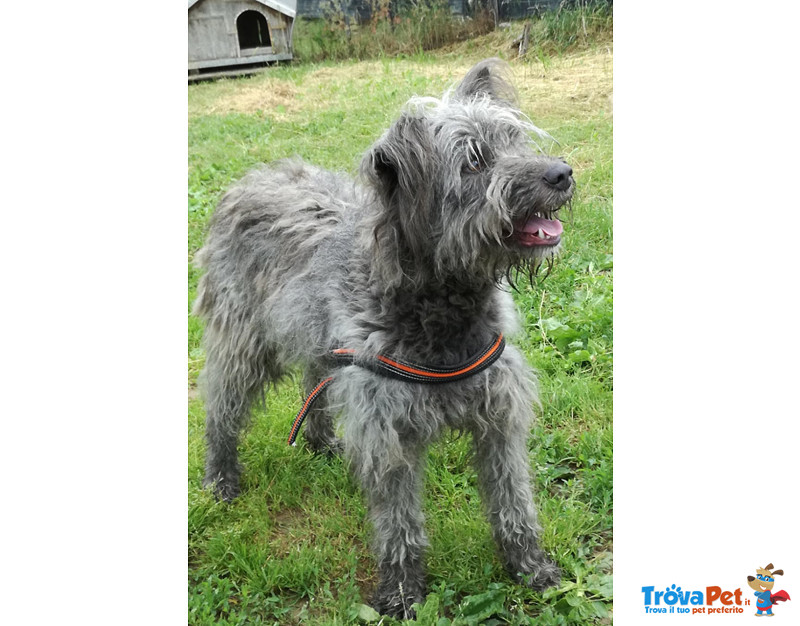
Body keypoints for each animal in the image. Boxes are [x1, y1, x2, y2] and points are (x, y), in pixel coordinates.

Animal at [197, 61, 580, 616]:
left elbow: (515, 504)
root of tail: (250, 178)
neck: (442, 313)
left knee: (314, 383)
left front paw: (532, 568)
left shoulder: (500, 419)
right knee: (221, 407)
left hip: (321, 344)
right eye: (474, 161)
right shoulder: (388, 433)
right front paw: (401, 593)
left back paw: (321, 442)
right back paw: (221, 477)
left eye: (516, 141)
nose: (562, 173)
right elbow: (400, 526)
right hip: (242, 345)